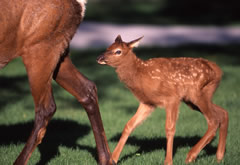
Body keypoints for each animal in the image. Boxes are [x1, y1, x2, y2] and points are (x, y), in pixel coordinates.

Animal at [0, 0, 113, 164]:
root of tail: (81, 3)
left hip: (39, 47)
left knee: (46, 108)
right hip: (59, 49)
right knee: (87, 89)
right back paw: (107, 159)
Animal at [97, 35, 229, 165]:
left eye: (118, 51)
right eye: (108, 47)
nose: (99, 58)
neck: (142, 77)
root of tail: (219, 71)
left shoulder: (172, 97)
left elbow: (169, 128)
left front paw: (168, 161)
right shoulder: (147, 102)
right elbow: (129, 125)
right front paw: (113, 159)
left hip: (197, 94)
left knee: (213, 120)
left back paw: (191, 156)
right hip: (194, 99)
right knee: (223, 113)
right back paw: (219, 157)